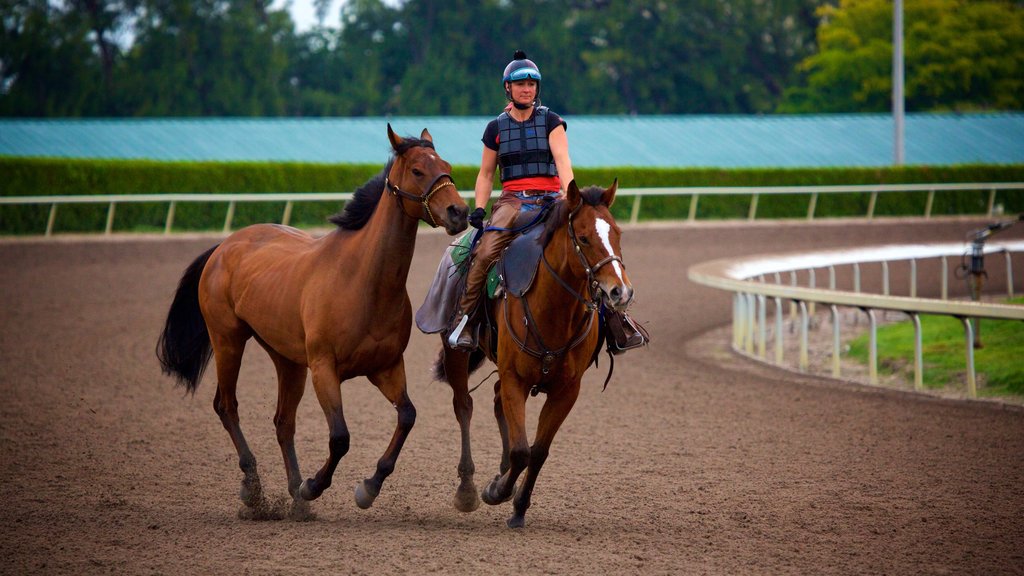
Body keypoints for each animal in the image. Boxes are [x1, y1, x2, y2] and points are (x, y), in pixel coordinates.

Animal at [154, 125, 468, 516]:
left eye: (447, 165)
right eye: (417, 170)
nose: (460, 211)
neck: (362, 281)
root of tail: (224, 246)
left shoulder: (386, 367)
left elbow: (407, 416)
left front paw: (368, 487)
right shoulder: (323, 368)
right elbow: (340, 437)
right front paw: (313, 486)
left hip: (287, 360)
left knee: (283, 422)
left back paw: (293, 497)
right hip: (228, 340)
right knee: (227, 406)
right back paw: (254, 488)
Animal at [432, 178, 630, 524]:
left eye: (617, 233)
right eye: (583, 238)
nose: (620, 291)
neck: (553, 313)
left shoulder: (567, 390)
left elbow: (537, 451)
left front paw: (519, 505)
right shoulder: (516, 379)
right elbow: (521, 450)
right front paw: (496, 492)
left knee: (496, 400)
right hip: (456, 352)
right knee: (464, 406)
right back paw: (468, 490)